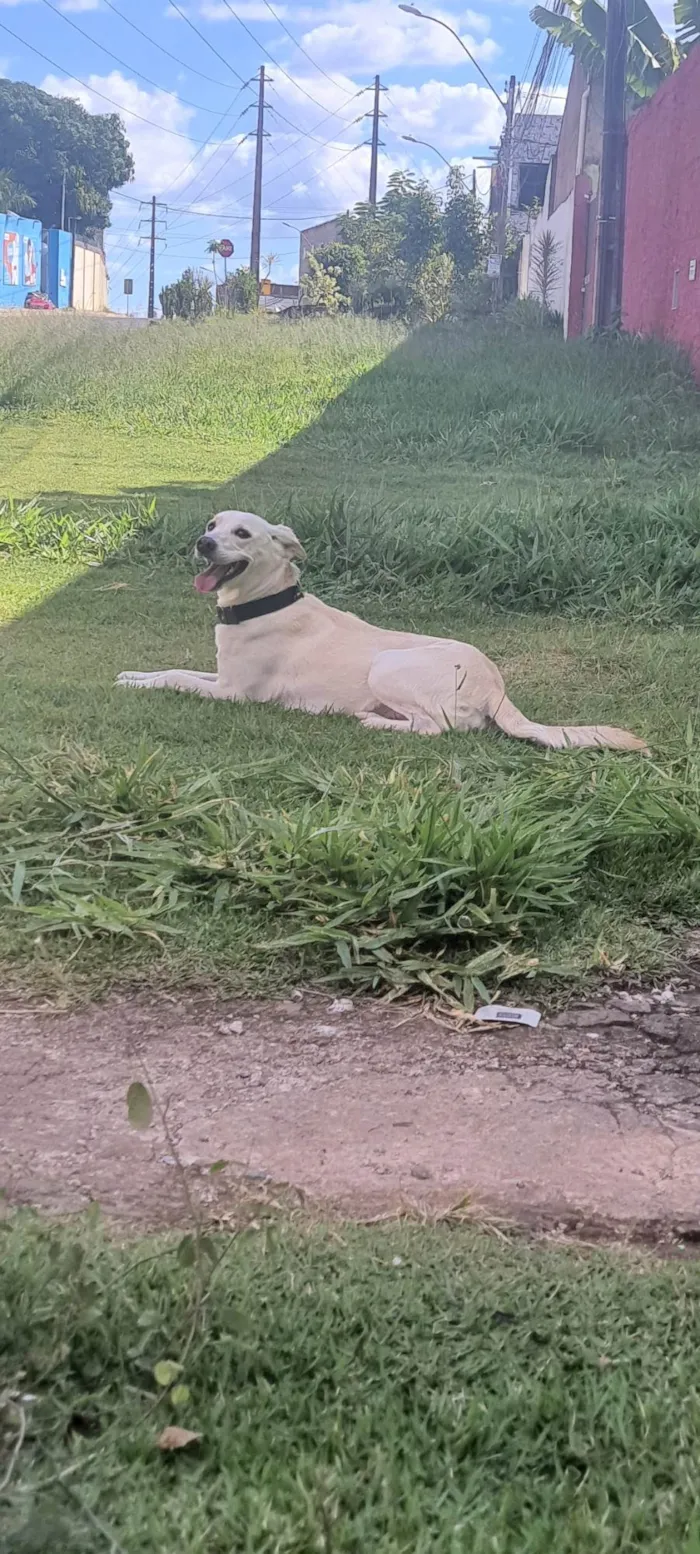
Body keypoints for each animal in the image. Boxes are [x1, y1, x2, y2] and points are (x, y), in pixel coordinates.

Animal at [117, 509, 647, 752]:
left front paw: (139, 683)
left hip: (388, 666)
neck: (265, 602)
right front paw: (133, 677)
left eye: (242, 534)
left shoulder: (234, 694)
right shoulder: (220, 677)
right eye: (213, 524)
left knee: (439, 728)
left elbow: (177, 678)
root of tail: (496, 685)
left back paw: (373, 721)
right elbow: (174, 669)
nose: (202, 542)